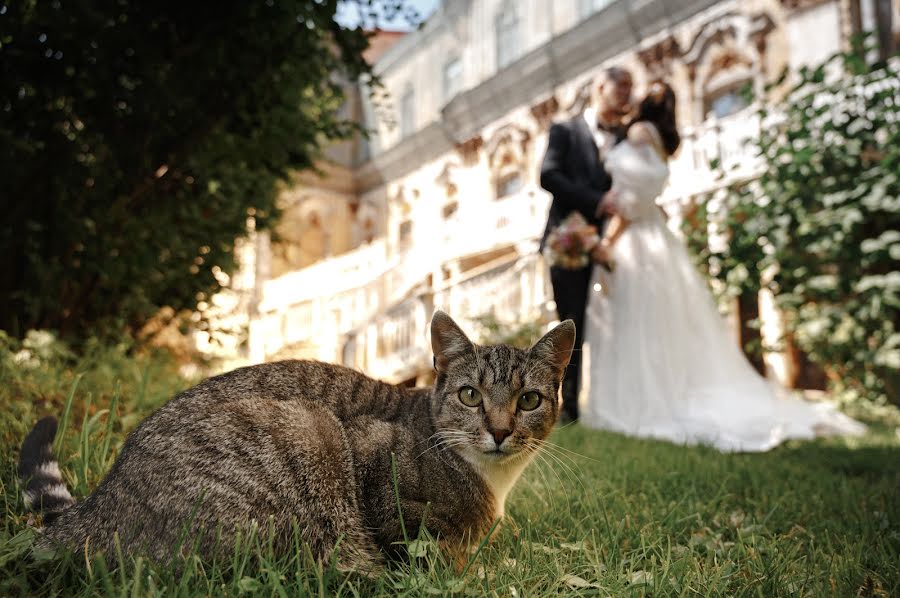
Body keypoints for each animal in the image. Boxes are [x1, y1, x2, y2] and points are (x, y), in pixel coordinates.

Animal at [21, 314, 572, 572]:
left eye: (528, 400)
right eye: (469, 395)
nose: (499, 430)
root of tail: (102, 501)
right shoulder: (375, 461)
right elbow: (419, 547)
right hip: (308, 433)